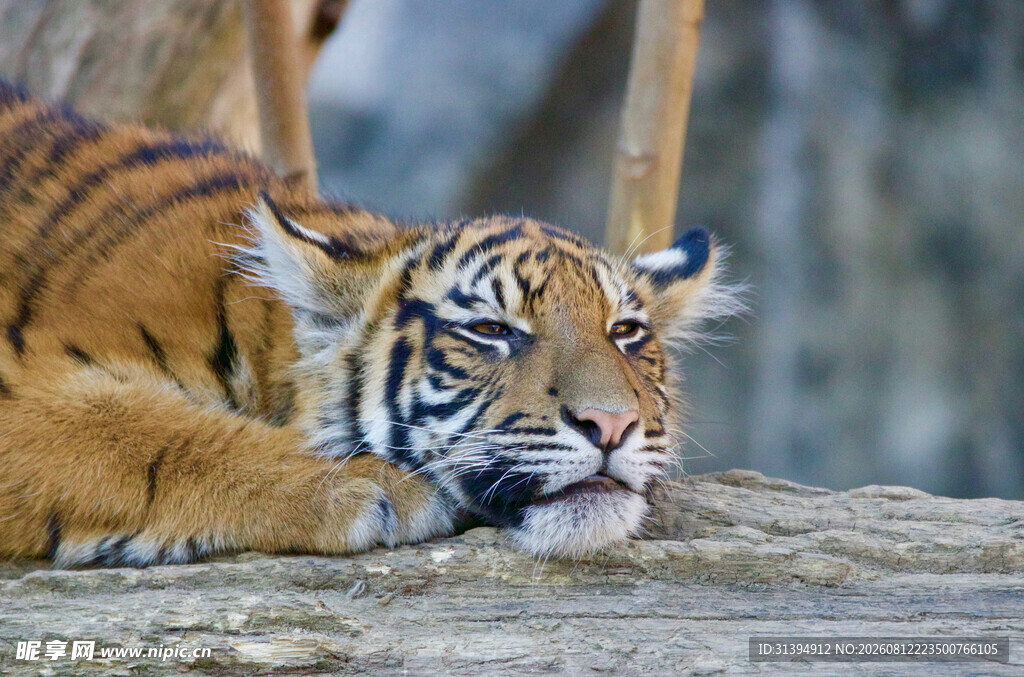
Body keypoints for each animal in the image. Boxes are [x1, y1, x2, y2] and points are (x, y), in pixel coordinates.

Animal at [0, 81, 740, 568]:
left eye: (625, 333)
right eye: (492, 330)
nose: (611, 424)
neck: (266, 342)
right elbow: (148, 435)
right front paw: (370, 487)